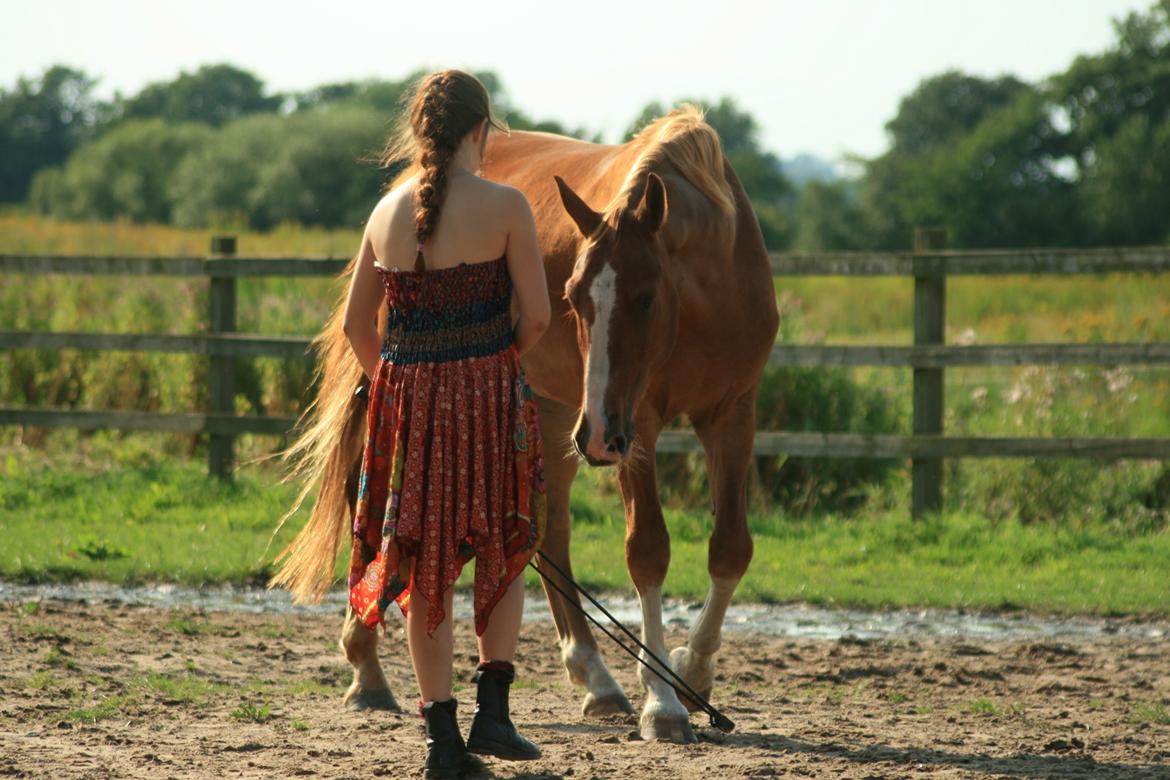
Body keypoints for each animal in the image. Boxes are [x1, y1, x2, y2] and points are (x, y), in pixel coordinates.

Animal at [271, 105, 776, 743]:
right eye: (574, 297)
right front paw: (663, 701)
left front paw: (693, 671)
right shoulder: (637, 426)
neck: (706, 296)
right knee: (374, 495)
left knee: (549, 535)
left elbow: (731, 548)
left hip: (562, 415)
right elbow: (648, 551)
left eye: (645, 297)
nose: (599, 436)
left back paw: (596, 679)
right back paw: (368, 669)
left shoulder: (733, 414)